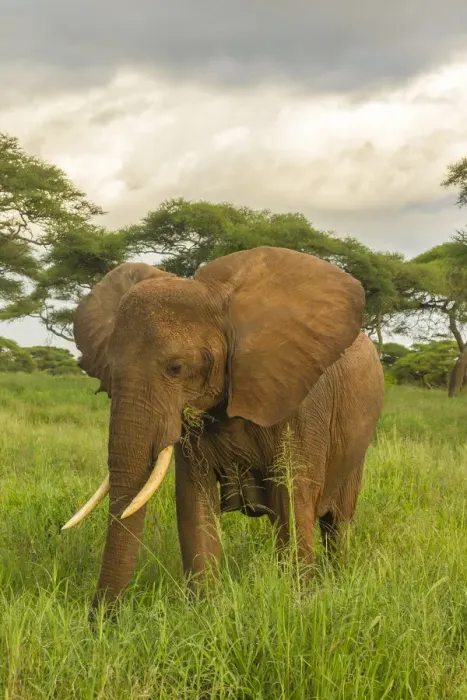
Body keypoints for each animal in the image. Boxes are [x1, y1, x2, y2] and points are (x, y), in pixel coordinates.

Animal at [62, 246, 384, 610]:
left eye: (176, 368)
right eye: (109, 370)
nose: (100, 617)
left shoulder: (302, 404)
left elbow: (293, 498)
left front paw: (299, 605)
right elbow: (193, 501)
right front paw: (205, 610)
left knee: (338, 522)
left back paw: (339, 578)